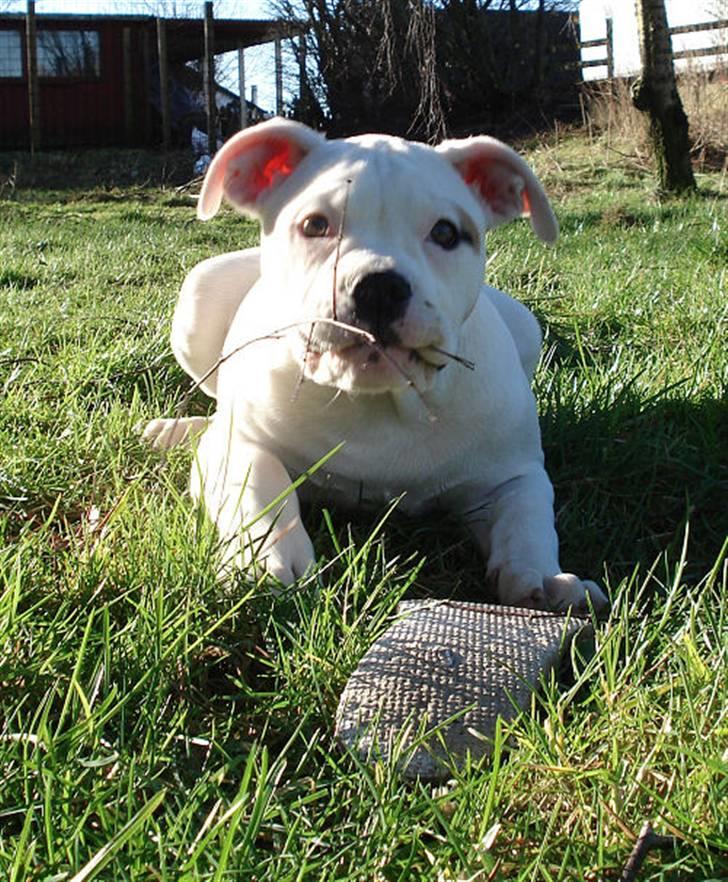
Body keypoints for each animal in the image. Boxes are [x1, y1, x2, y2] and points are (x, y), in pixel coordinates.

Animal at [144, 117, 608, 612]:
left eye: (446, 233)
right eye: (315, 224)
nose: (380, 287)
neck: (380, 400)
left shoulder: (512, 473)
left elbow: (527, 516)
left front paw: (545, 577)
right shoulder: (235, 446)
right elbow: (259, 484)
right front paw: (266, 561)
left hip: (527, 325)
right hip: (199, 293)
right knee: (214, 406)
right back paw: (175, 430)